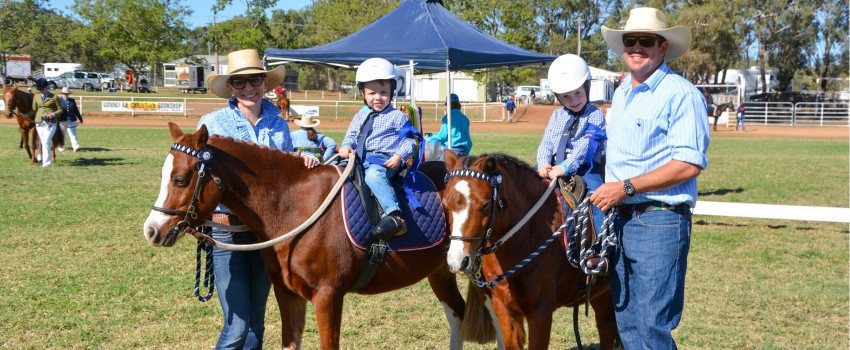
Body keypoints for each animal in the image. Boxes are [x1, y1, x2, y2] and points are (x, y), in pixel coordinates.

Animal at [142, 123, 480, 348]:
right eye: (162, 176)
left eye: (181, 179)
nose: (152, 229)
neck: (295, 204)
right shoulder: (288, 293)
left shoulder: (328, 296)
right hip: (441, 271)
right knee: (459, 316)